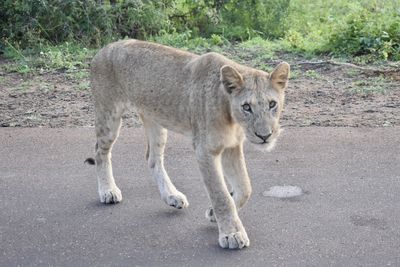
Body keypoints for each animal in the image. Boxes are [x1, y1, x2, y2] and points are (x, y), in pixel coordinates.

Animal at [87, 38, 290, 250]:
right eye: (247, 107)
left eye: (272, 104)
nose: (265, 136)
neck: (232, 118)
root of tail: (104, 48)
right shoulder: (205, 151)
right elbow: (221, 195)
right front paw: (232, 234)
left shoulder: (231, 146)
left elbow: (245, 188)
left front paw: (213, 214)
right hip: (109, 115)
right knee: (100, 152)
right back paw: (108, 191)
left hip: (155, 119)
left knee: (153, 158)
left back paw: (171, 196)